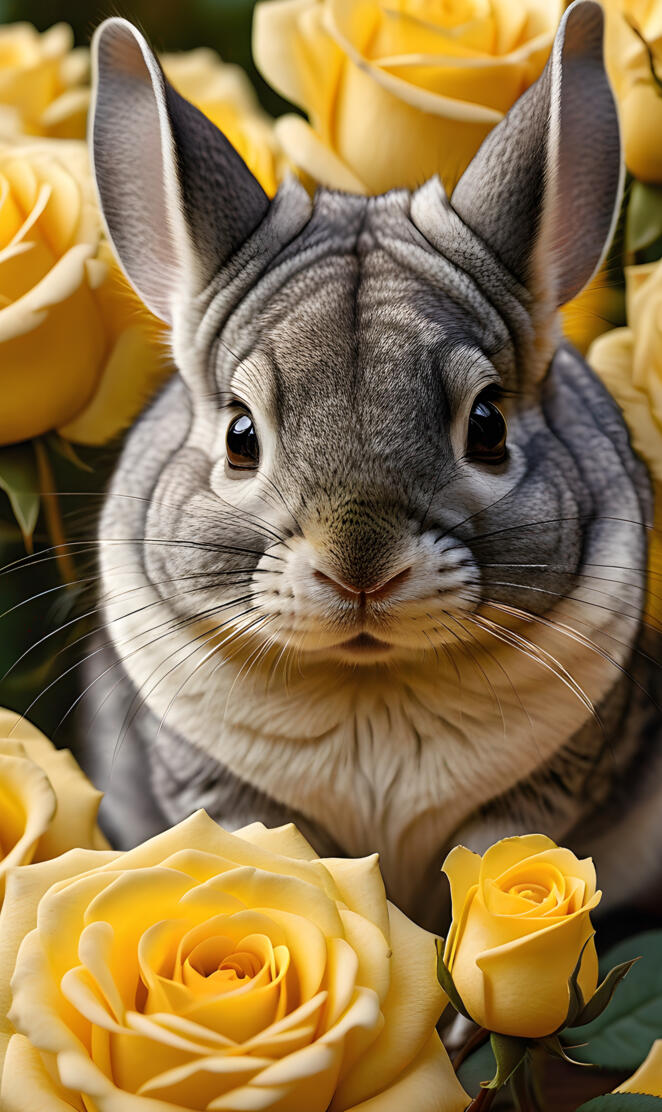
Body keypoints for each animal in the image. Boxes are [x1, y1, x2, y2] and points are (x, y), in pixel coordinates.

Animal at [81, 0, 661, 931]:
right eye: (240, 435)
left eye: (488, 425)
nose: (360, 571)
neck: (372, 683)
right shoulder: (222, 791)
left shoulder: (542, 790)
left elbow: (493, 866)